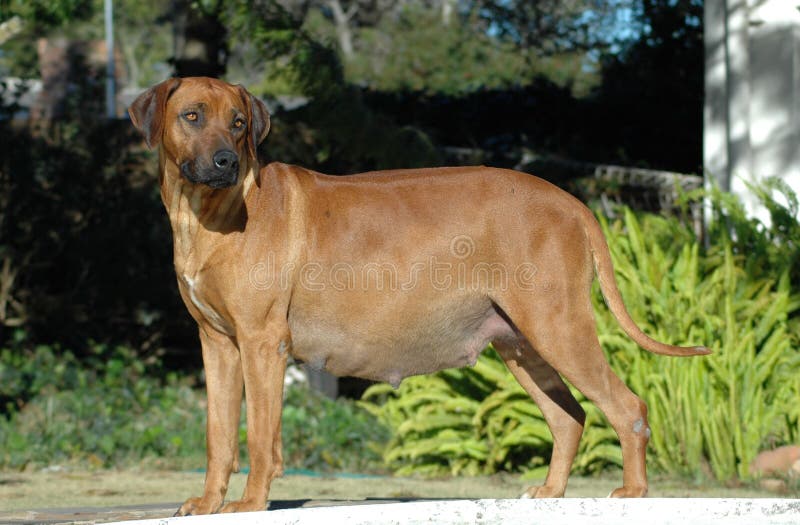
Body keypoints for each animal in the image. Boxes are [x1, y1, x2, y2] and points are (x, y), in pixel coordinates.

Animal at [128, 78, 708, 516]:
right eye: (193, 116)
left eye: (239, 123)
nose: (226, 161)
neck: (210, 215)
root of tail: (571, 201)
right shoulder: (218, 345)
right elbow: (219, 435)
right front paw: (207, 503)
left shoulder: (261, 342)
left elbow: (258, 437)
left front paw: (249, 505)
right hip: (521, 344)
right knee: (569, 417)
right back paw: (550, 492)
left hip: (558, 326)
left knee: (627, 406)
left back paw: (633, 493)